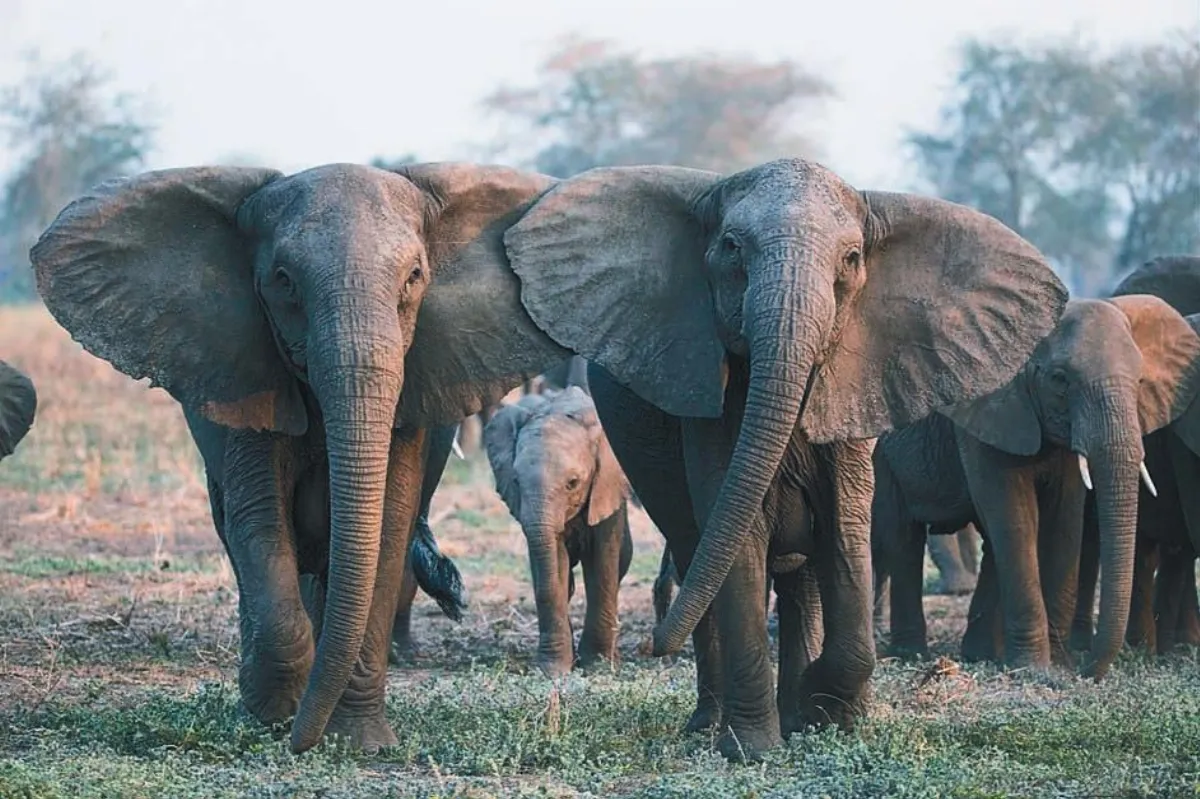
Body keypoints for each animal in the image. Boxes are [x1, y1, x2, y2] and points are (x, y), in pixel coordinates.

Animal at [30, 161, 571, 754]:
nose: (298, 742)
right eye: (283, 280)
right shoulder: (247, 377)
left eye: (414, 277)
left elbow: (387, 528)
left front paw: (358, 742)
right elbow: (259, 521)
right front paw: (273, 716)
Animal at [484, 386, 633, 675]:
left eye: (573, 483)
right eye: (516, 480)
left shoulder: (607, 488)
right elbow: (552, 565)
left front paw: (597, 666)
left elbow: (603, 566)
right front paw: (552, 670)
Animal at [500, 158, 1069, 759]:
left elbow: (845, 528)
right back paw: (711, 723)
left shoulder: (856, 384)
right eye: (731, 247)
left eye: (851, 259)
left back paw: (797, 713)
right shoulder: (712, 397)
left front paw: (830, 712)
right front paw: (751, 749)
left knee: (799, 579)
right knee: (698, 555)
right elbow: (738, 534)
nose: (654, 645)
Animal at [871, 296, 1200, 679]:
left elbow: (1064, 520)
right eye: (1059, 380)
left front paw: (1059, 665)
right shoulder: (988, 409)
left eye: (1141, 380)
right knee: (903, 539)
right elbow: (1014, 517)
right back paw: (911, 653)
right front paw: (1035, 670)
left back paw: (979, 653)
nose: (1087, 668)